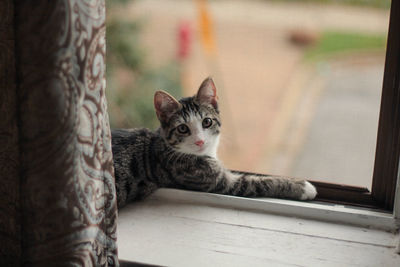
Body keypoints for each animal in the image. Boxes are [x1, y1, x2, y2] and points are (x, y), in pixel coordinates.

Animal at [111, 76, 318, 208]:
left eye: (207, 122)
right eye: (182, 128)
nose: (200, 141)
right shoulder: (215, 179)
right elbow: (256, 182)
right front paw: (303, 187)